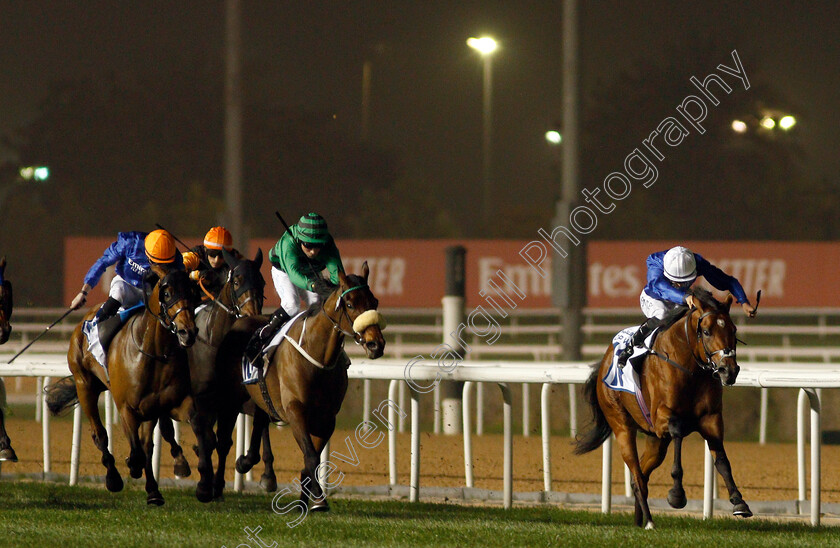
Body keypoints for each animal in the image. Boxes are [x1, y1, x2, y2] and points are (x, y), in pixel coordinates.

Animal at [48, 264, 199, 506]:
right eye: (167, 294)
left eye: (193, 293)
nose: (188, 332)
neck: (153, 352)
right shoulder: (127, 407)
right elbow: (137, 450)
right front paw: (131, 466)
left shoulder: (169, 402)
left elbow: (160, 439)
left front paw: (166, 479)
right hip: (85, 385)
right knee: (100, 434)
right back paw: (113, 478)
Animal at [217, 264, 388, 512]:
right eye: (350, 304)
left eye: (374, 301)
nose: (376, 344)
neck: (317, 357)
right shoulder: (295, 411)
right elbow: (311, 456)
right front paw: (319, 498)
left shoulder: (327, 418)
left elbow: (312, 460)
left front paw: (306, 502)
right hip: (229, 394)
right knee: (222, 438)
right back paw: (214, 486)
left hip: (262, 395)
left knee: (260, 419)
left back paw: (253, 466)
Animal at [576, 288, 752, 528]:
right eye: (706, 331)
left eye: (733, 330)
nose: (729, 370)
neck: (690, 369)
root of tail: (603, 362)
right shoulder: (662, 419)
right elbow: (677, 431)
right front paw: (677, 494)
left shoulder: (711, 419)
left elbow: (723, 460)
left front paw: (739, 502)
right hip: (622, 425)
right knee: (637, 475)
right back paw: (649, 521)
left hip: (656, 442)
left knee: (641, 474)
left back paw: (639, 521)